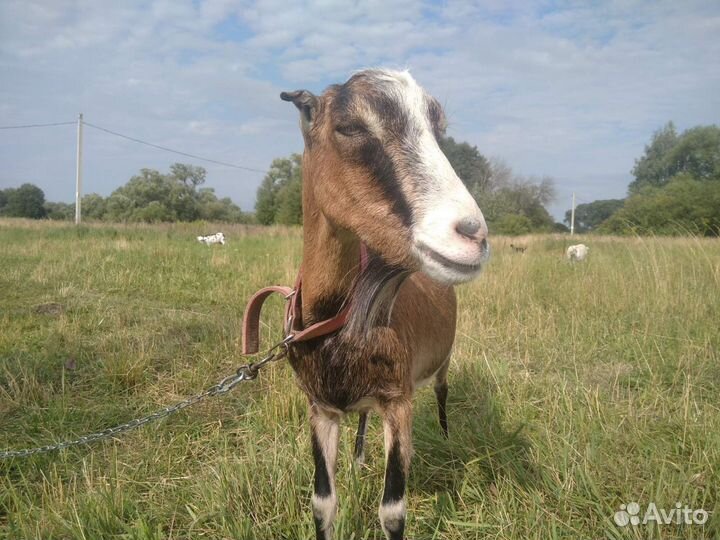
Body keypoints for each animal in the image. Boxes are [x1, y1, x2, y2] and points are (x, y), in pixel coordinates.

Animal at [275, 69, 489, 539]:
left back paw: (446, 437)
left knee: (443, 391)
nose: (473, 235)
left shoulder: (399, 401)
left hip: (444, 359)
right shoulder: (320, 407)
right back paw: (357, 458)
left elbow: (392, 511)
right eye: (350, 126)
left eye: (439, 130)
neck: (333, 323)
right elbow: (322, 502)